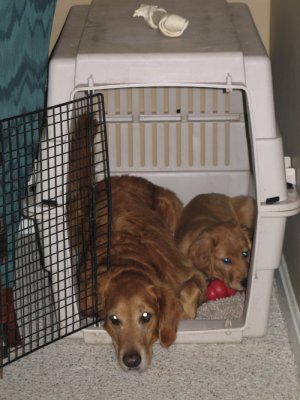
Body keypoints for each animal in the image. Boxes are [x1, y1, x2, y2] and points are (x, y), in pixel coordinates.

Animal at [68, 115, 207, 372]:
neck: (126, 260)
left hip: (170, 204)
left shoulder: (189, 273)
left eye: (146, 316)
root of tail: (119, 177)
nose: (131, 361)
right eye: (114, 319)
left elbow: (188, 293)